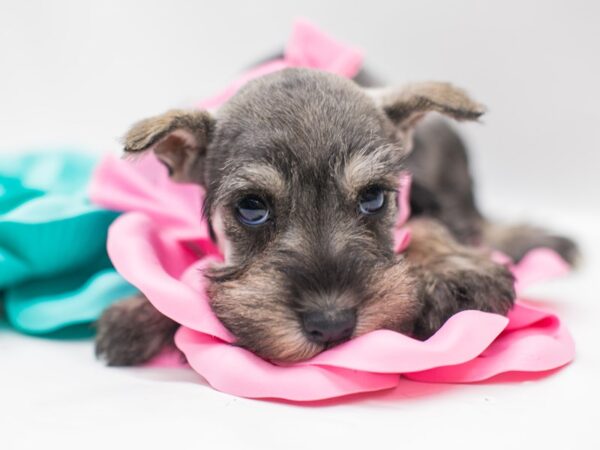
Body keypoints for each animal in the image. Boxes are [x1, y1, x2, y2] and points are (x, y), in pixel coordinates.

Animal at [96, 68, 580, 368]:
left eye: (373, 198)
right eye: (251, 207)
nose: (331, 325)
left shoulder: (420, 199)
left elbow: (425, 226)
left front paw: (454, 273)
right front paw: (140, 312)